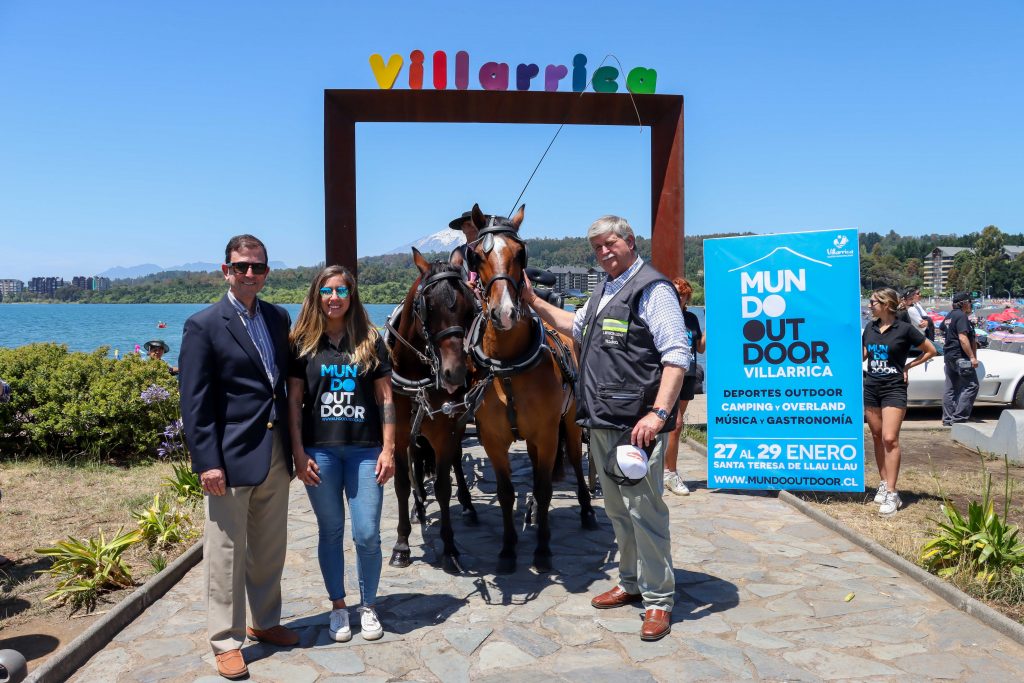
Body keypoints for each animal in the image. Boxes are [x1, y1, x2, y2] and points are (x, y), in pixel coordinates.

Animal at [384, 248, 484, 572]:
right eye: (426, 306)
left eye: (469, 307)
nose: (455, 373)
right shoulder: (399, 432)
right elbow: (402, 483)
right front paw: (401, 544)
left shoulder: (446, 430)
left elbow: (442, 486)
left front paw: (450, 548)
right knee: (417, 462)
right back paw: (418, 507)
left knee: (455, 462)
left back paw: (466, 505)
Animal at [464, 203, 597, 574]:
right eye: (477, 256)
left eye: (520, 253)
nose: (506, 313)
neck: (508, 366)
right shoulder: (492, 438)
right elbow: (507, 493)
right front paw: (509, 549)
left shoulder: (547, 432)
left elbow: (543, 487)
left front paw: (542, 549)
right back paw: (534, 516)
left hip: (567, 425)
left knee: (573, 466)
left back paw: (586, 510)